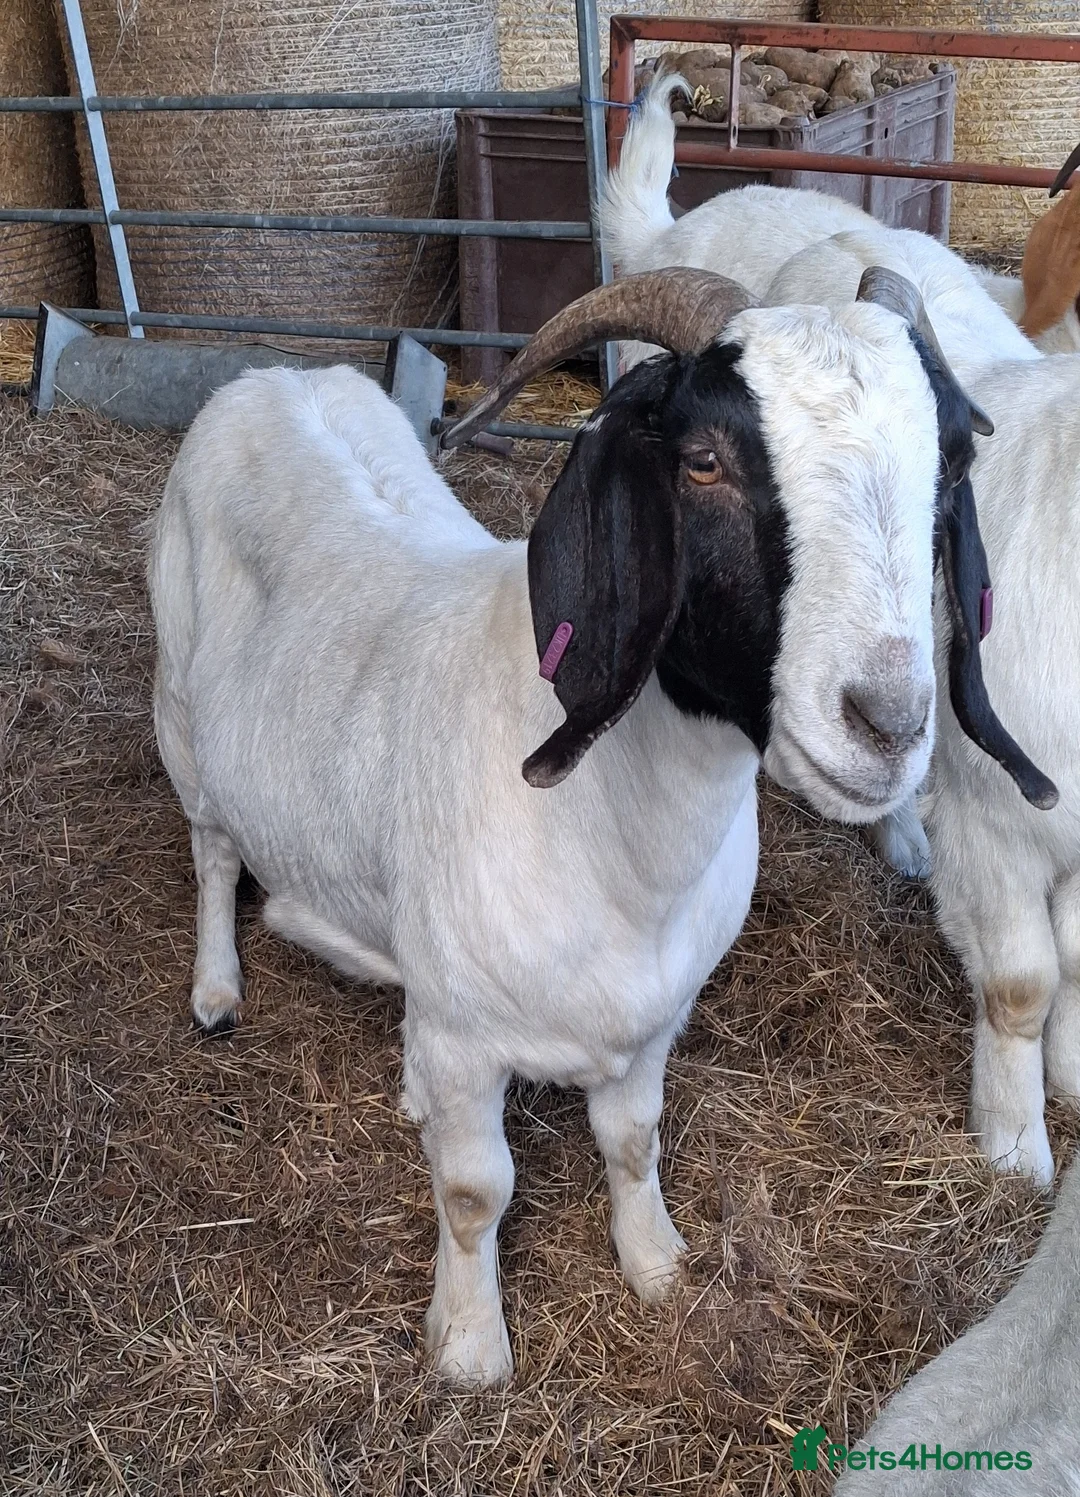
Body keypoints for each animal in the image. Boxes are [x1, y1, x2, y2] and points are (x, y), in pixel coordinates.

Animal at [149, 267, 1038, 1387]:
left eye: (953, 461)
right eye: (703, 461)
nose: (889, 722)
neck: (618, 842)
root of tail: (274, 376)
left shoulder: (653, 1020)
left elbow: (634, 1137)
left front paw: (657, 1263)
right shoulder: (467, 1040)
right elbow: (475, 1191)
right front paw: (470, 1347)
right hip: (181, 717)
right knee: (213, 854)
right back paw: (216, 988)